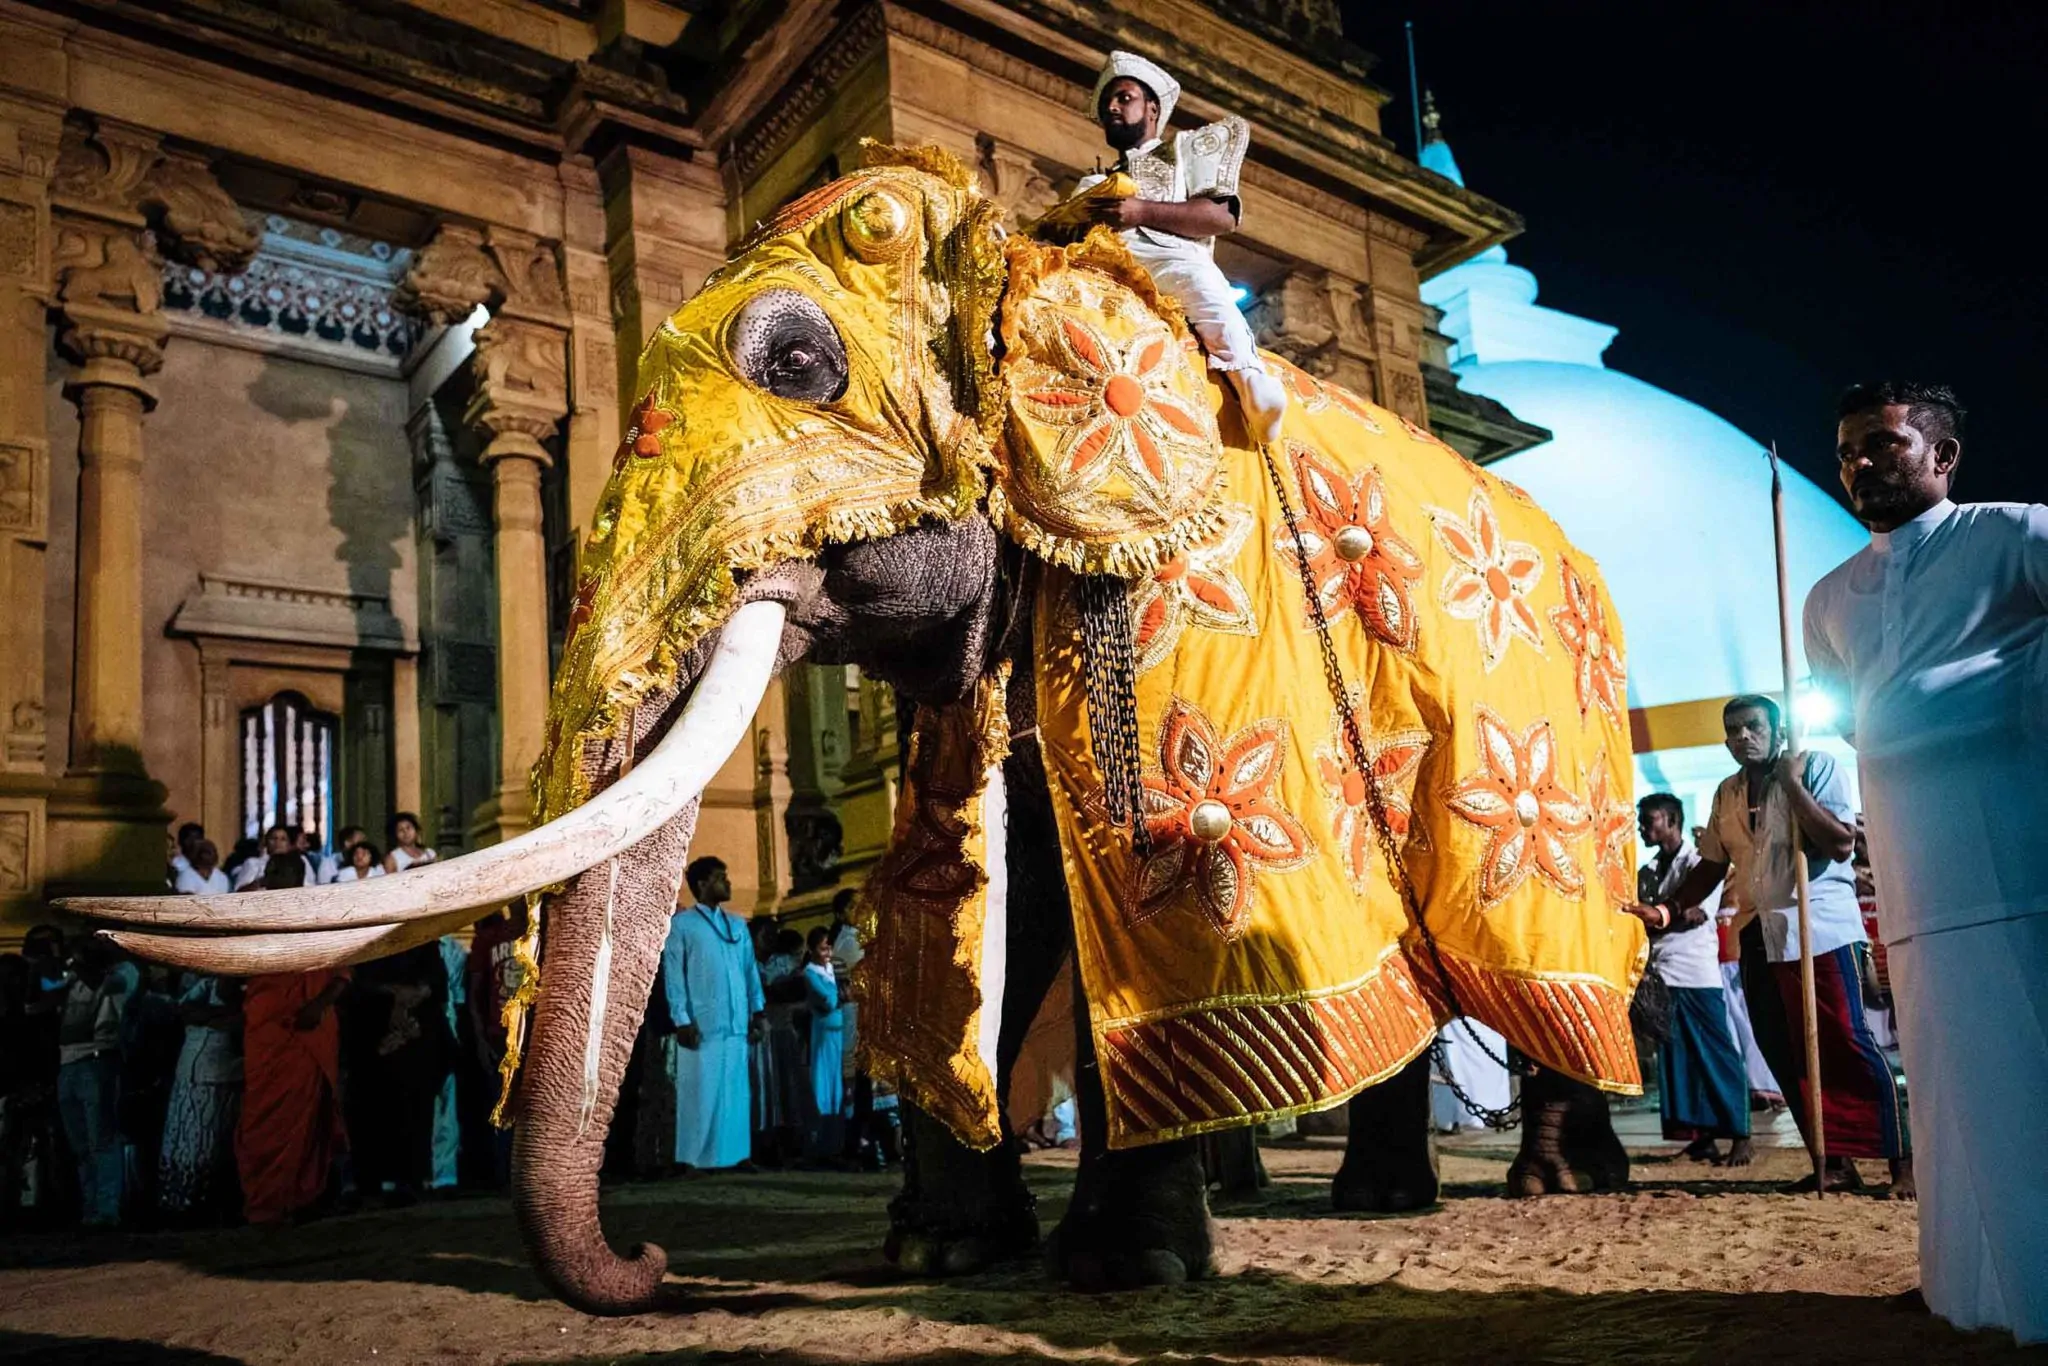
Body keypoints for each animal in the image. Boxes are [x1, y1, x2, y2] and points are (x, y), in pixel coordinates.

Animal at [68, 147, 1646, 1310]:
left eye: (796, 364)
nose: (651, 1265)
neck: (1031, 256)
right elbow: (994, 875)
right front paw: (941, 1251)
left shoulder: (1175, 576)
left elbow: (1147, 877)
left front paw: (1121, 1271)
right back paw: (1341, 1187)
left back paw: (1537, 1183)